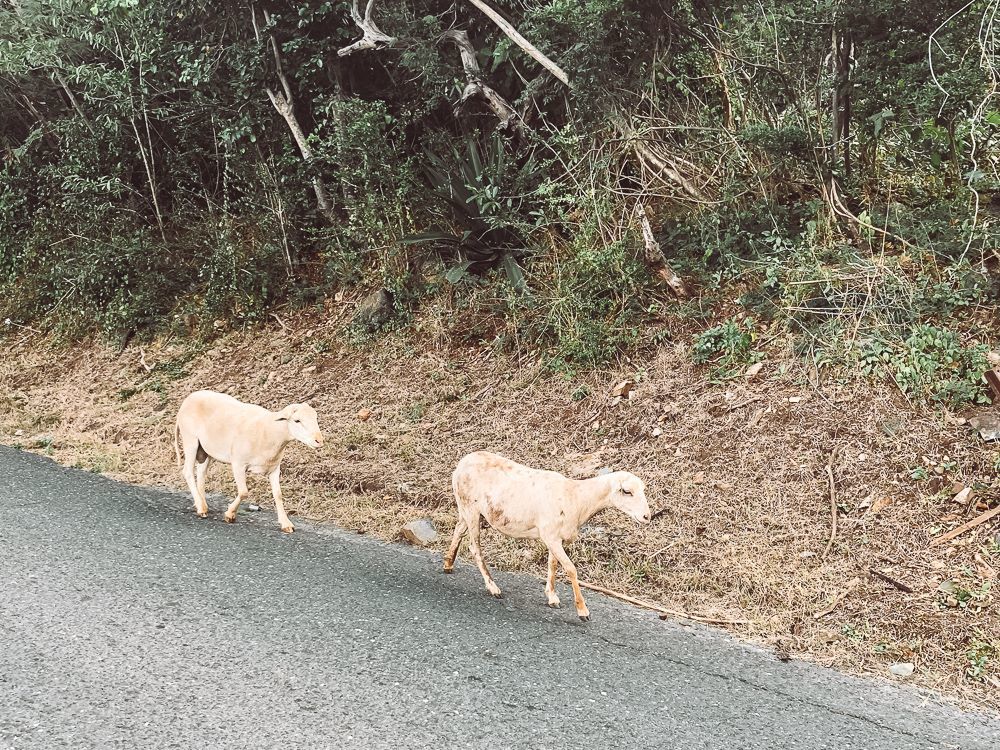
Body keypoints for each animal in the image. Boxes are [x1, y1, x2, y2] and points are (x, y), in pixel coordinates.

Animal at [173, 390, 323, 533]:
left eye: (316, 418)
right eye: (297, 421)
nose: (319, 440)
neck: (268, 432)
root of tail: (189, 398)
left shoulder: (274, 468)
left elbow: (278, 495)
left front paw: (286, 524)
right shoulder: (238, 463)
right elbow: (244, 491)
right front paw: (230, 514)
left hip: (206, 449)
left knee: (201, 473)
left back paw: (202, 504)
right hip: (190, 439)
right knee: (188, 471)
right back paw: (200, 507)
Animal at [443, 451, 650, 620]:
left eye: (643, 490)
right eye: (627, 491)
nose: (647, 517)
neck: (577, 498)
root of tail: (462, 463)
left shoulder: (556, 538)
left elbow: (553, 565)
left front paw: (552, 597)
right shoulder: (550, 536)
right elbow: (570, 569)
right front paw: (582, 611)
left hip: (466, 510)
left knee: (458, 530)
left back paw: (448, 564)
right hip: (470, 508)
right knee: (474, 548)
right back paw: (493, 587)